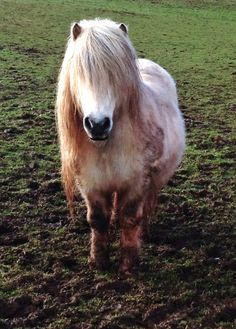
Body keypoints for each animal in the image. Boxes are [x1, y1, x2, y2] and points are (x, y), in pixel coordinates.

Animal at [56, 18, 185, 274]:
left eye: (116, 76)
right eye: (80, 72)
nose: (97, 124)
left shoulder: (137, 183)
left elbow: (131, 218)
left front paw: (128, 265)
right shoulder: (91, 183)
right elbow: (97, 220)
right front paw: (99, 262)